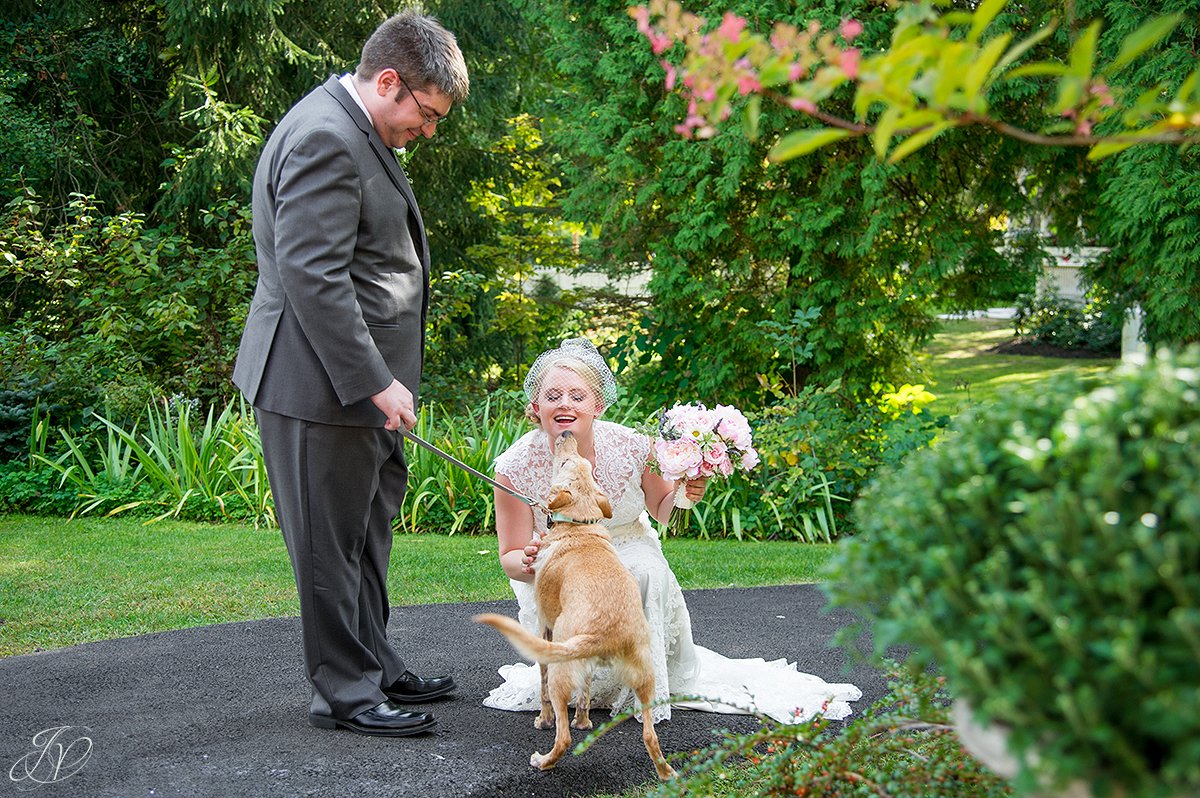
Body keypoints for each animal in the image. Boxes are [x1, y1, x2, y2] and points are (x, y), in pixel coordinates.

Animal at [472, 432, 676, 772]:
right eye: (583, 465)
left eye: (566, 461)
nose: (566, 434)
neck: (580, 526)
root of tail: (608, 633)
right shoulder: (586, 666)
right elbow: (585, 692)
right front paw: (584, 721)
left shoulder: (545, 629)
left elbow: (544, 689)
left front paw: (544, 719)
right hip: (645, 679)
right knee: (651, 737)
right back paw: (666, 772)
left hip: (560, 666)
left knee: (563, 736)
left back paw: (543, 760)